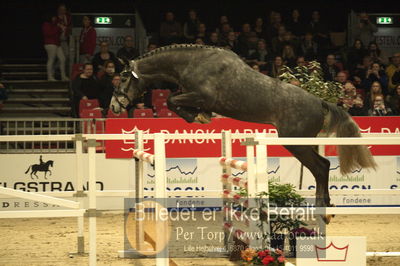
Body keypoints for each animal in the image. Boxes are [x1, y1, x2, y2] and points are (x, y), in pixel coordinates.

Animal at [108, 43, 376, 217]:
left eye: (123, 78)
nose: (114, 106)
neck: (192, 63)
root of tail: (320, 102)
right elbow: (174, 100)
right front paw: (200, 116)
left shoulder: (202, 96)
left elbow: (172, 100)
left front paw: (197, 117)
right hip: (299, 142)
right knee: (323, 166)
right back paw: (326, 204)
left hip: (294, 142)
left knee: (320, 166)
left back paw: (322, 204)